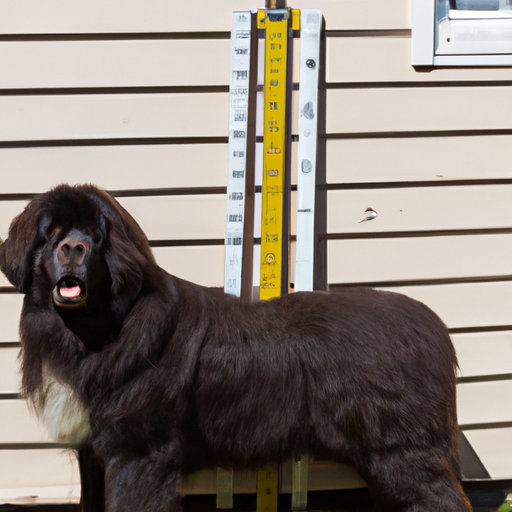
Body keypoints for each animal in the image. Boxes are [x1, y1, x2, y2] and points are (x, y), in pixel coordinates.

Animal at [0, 185, 472, 512]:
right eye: (51, 234)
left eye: (95, 236)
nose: (72, 248)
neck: (96, 331)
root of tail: (435, 328)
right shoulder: (92, 452)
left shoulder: (140, 452)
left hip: (402, 452)